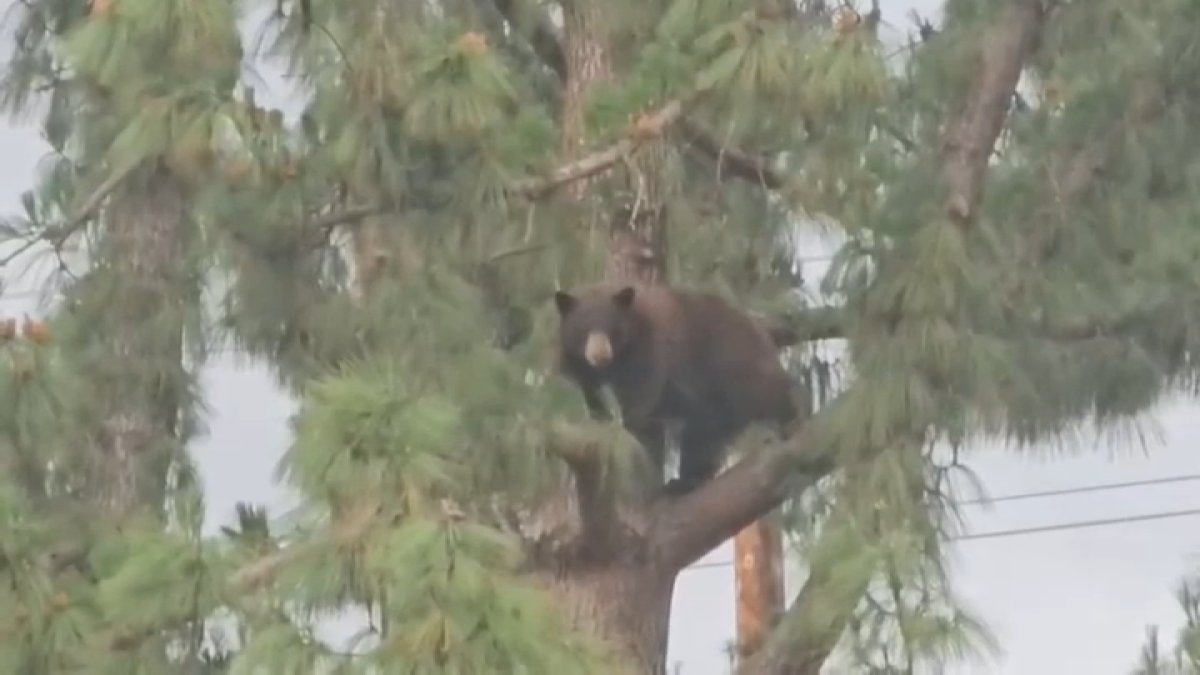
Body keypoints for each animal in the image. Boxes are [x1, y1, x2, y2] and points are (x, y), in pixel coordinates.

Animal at [553, 282, 799, 495]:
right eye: (583, 328)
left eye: (613, 328)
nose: (600, 354)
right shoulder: (587, 378)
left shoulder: (651, 357)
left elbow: (642, 407)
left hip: (732, 364)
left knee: (761, 394)